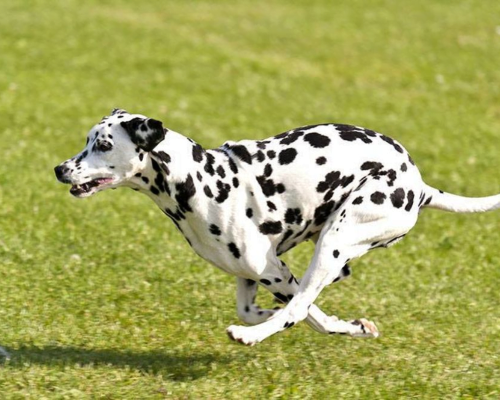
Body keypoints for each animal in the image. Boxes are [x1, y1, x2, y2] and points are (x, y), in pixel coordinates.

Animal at [54, 110, 500, 346]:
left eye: (104, 145)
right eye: (88, 140)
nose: (60, 169)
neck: (200, 180)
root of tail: (419, 185)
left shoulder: (274, 270)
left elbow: (305, 312)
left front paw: (337, 325)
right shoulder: (251, 274)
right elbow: (253, 310)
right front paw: (351, 325)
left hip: (334, 240)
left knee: (302, 304)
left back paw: (252, 337)